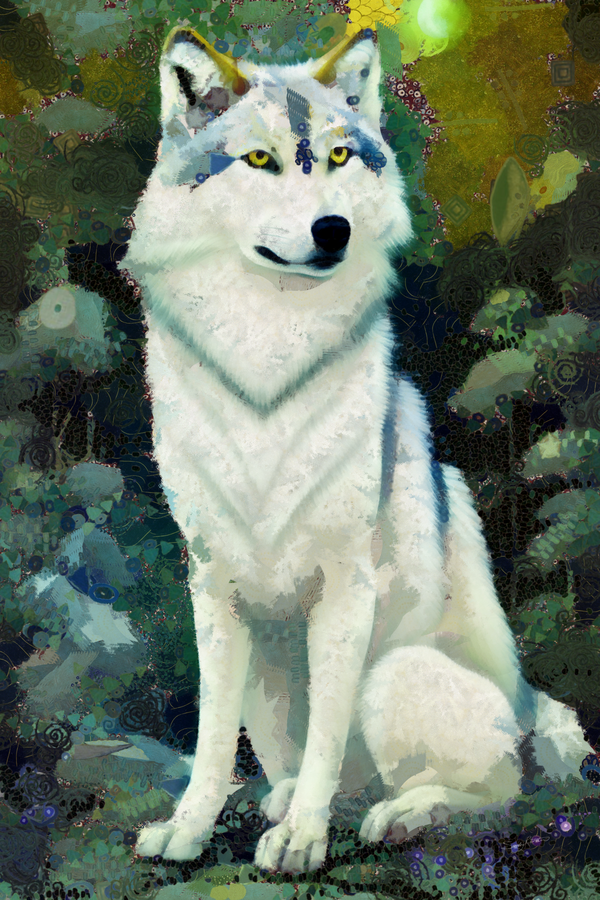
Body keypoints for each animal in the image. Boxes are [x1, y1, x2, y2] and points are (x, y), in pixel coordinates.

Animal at [120, 26, 592, 872]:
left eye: (340, 156)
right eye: (260, 159)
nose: (332, 229)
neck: (267, 368)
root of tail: (526, 705)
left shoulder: (346, 587)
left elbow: (328, 739)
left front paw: (302, 843)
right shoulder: (211, 586)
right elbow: (211, 741)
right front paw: (190, 829)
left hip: (397, 675)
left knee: (495, 795)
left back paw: (396, 816)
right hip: (268, 676)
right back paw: (294, 804)